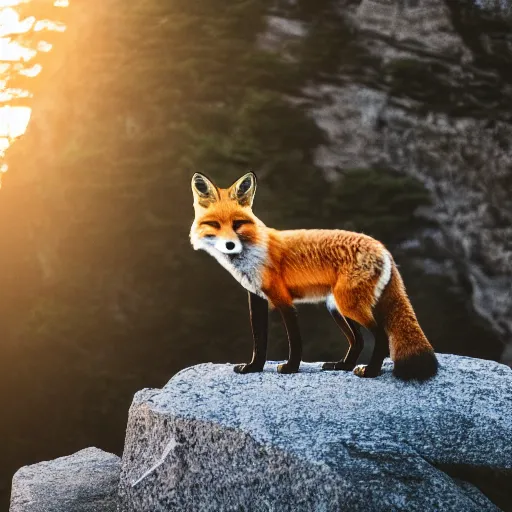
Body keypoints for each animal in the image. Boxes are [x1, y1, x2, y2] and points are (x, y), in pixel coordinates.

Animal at [190, 172, 438, 380]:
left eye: (238, 224)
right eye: (214, 224)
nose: (230, 245)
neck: (252, 253)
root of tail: (382, 247)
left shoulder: (283, 299)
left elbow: (295, 341)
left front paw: (291, 368)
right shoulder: (257, 298)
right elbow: (259, 342)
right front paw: (254, 368)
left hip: (349, 305)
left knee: (381, 336)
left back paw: (371, 371)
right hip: (337, 307)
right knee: (357, 341)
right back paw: (343, 365)